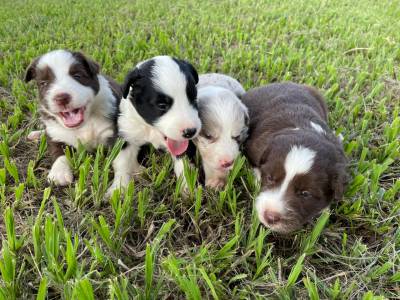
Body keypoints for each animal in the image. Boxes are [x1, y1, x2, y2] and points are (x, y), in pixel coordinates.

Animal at [25, 49, 121, 185]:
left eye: (77, 76)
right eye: (44, 83)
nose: (61, 98)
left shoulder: (113, 133)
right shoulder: (56, 134)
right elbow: (58, 152)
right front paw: (59, 173)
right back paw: (36, 134)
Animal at [108, 55, 202, 192]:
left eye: (193, 99)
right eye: (162, 105)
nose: (190, 131)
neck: (151, 130)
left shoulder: (185, 145)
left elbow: (184, 166)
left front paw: (187, 190)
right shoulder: (126, 134)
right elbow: (122, 162)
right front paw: (118, 189)